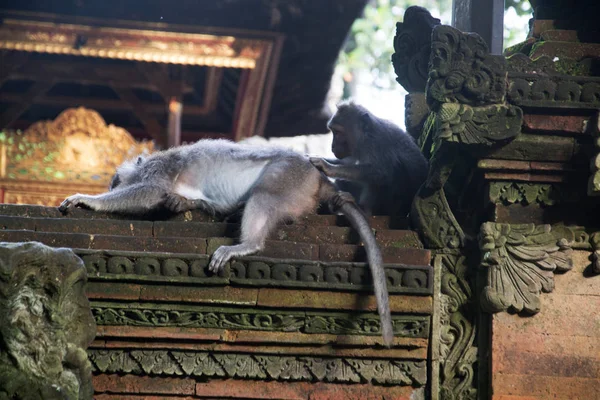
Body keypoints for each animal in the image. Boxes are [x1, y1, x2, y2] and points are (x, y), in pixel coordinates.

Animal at [57, 139, 394, 346]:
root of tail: (321, 179)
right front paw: (180, 204)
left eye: (114, 181)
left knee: (264, 195)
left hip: (290, 175)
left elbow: (149, 191)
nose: (111, 183)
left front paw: (88, 199)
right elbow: (185, 202)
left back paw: (247, 244)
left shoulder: (161, 168)